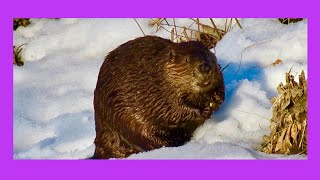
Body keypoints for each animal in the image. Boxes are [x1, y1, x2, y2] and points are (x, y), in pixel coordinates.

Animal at [92, 35, 224, 159]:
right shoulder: (160, 91)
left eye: (208, 55)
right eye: (187, 60)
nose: (205, 67)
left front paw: (217, 98)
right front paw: (204, 110)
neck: (161, 71)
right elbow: (173, 109)